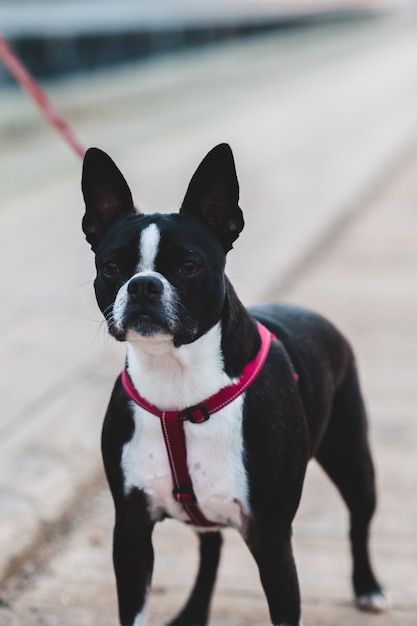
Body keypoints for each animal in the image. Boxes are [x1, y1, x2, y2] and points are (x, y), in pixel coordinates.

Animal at [82, 144, 390, 620]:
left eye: (190, 267)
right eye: (111, 267)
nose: (143, 285)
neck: (177, 379)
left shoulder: (272, 537)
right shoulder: (130, 532)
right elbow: (135, 610)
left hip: (351, 457)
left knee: (359, 519)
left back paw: (368, 587)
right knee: (211, 548)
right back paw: (193, 613)